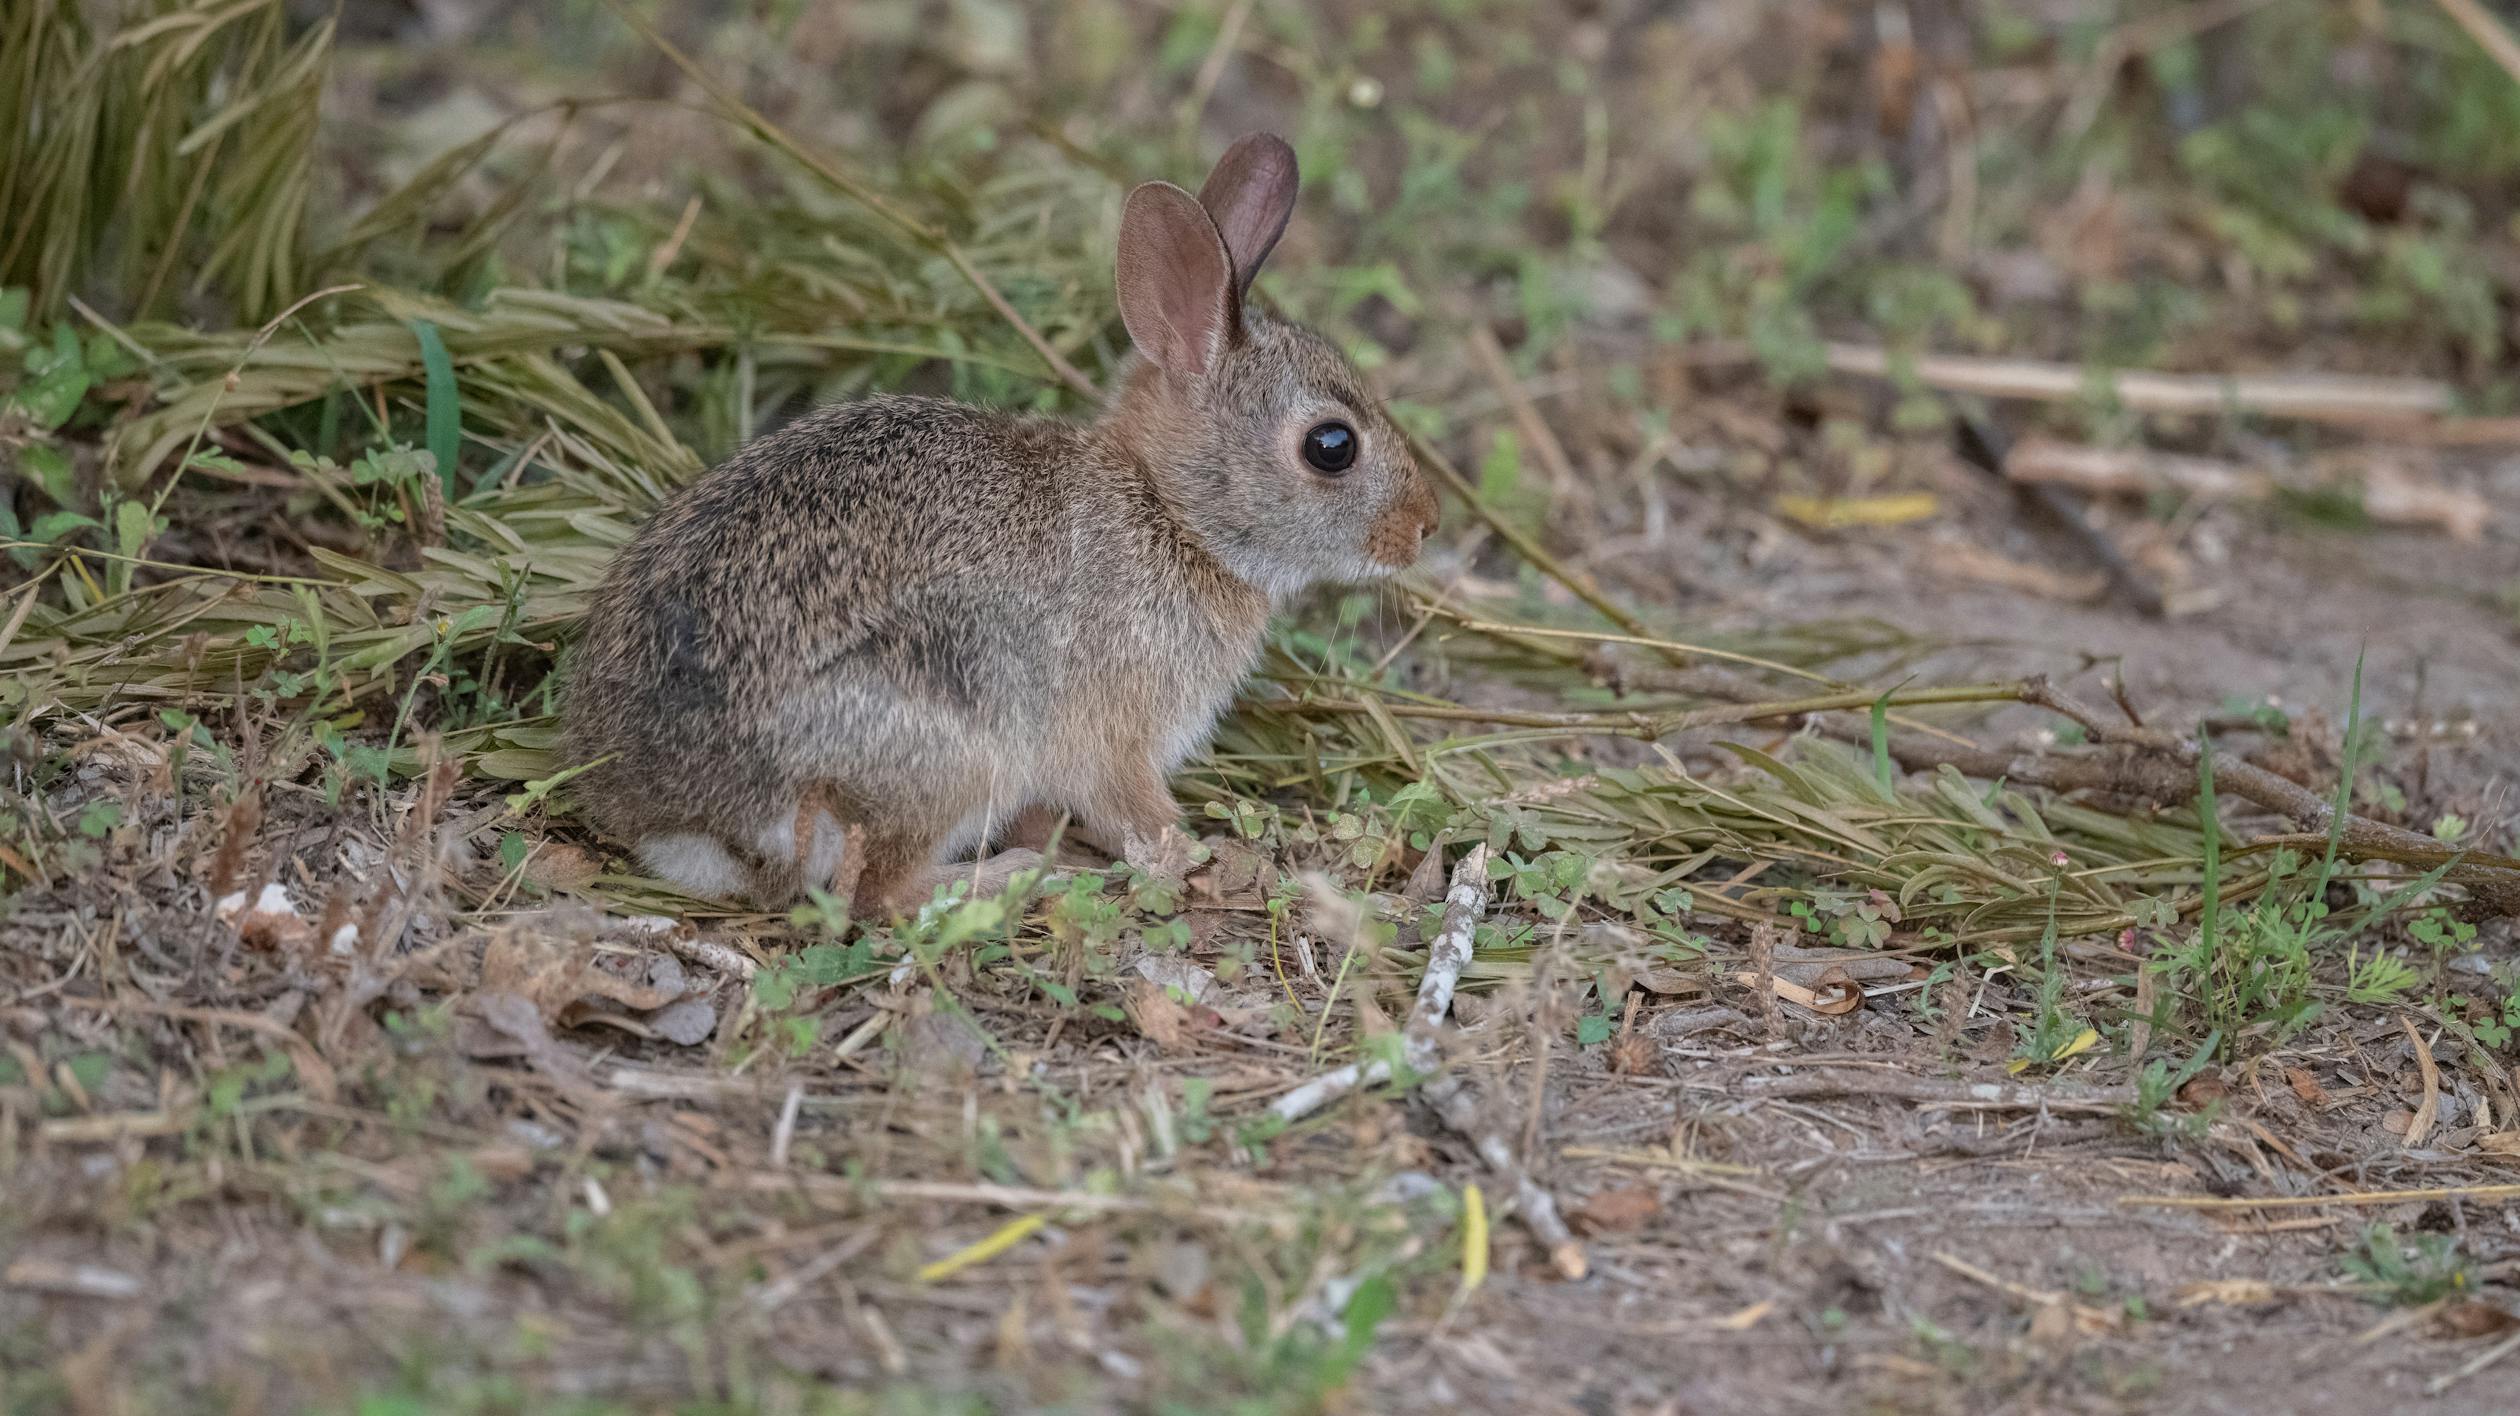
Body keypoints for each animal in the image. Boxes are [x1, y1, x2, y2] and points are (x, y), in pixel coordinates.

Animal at [567, 137, 1441, 907]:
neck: (1172, 512)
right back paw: (1022, 876)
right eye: (1332, 446)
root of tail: (685, 816)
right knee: (880, 893)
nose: (1425, 525)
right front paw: (1212, 859)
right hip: (952, 748)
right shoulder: (1115, 735)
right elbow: (1141, 816)